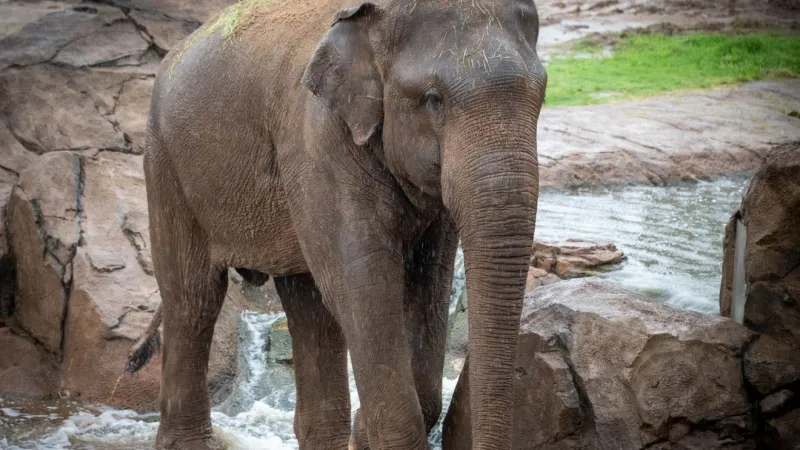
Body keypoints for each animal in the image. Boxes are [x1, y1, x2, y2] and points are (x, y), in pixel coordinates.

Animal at [126, 0, 547, 448]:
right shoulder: (318, 140)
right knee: (194, 298)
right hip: (166, 164)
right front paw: (370, 431)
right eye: (433, 99)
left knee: (308, 307)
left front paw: (362, 432)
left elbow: (429, 279)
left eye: (542, 93)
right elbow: (363, 283)